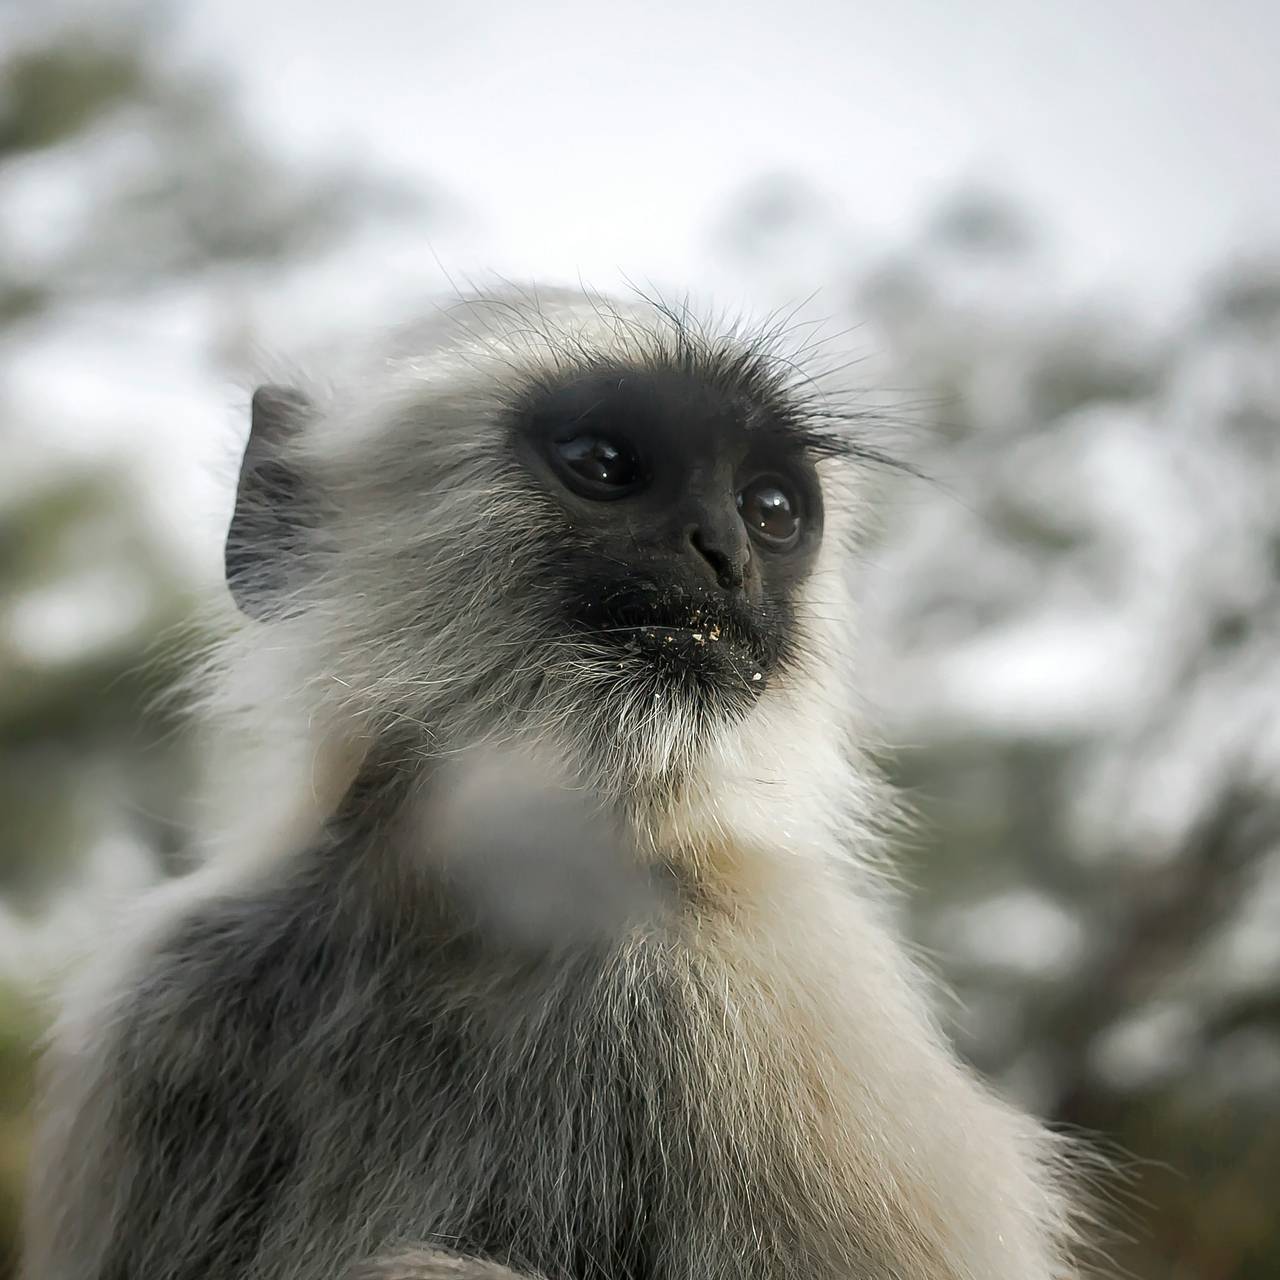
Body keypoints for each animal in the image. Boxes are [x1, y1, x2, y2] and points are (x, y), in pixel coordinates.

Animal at [22, 290, 1090, 1280]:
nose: (725, 552)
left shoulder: (783, 980)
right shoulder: (168, 996)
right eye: (605, 462)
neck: (477, 912)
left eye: (772, 512)